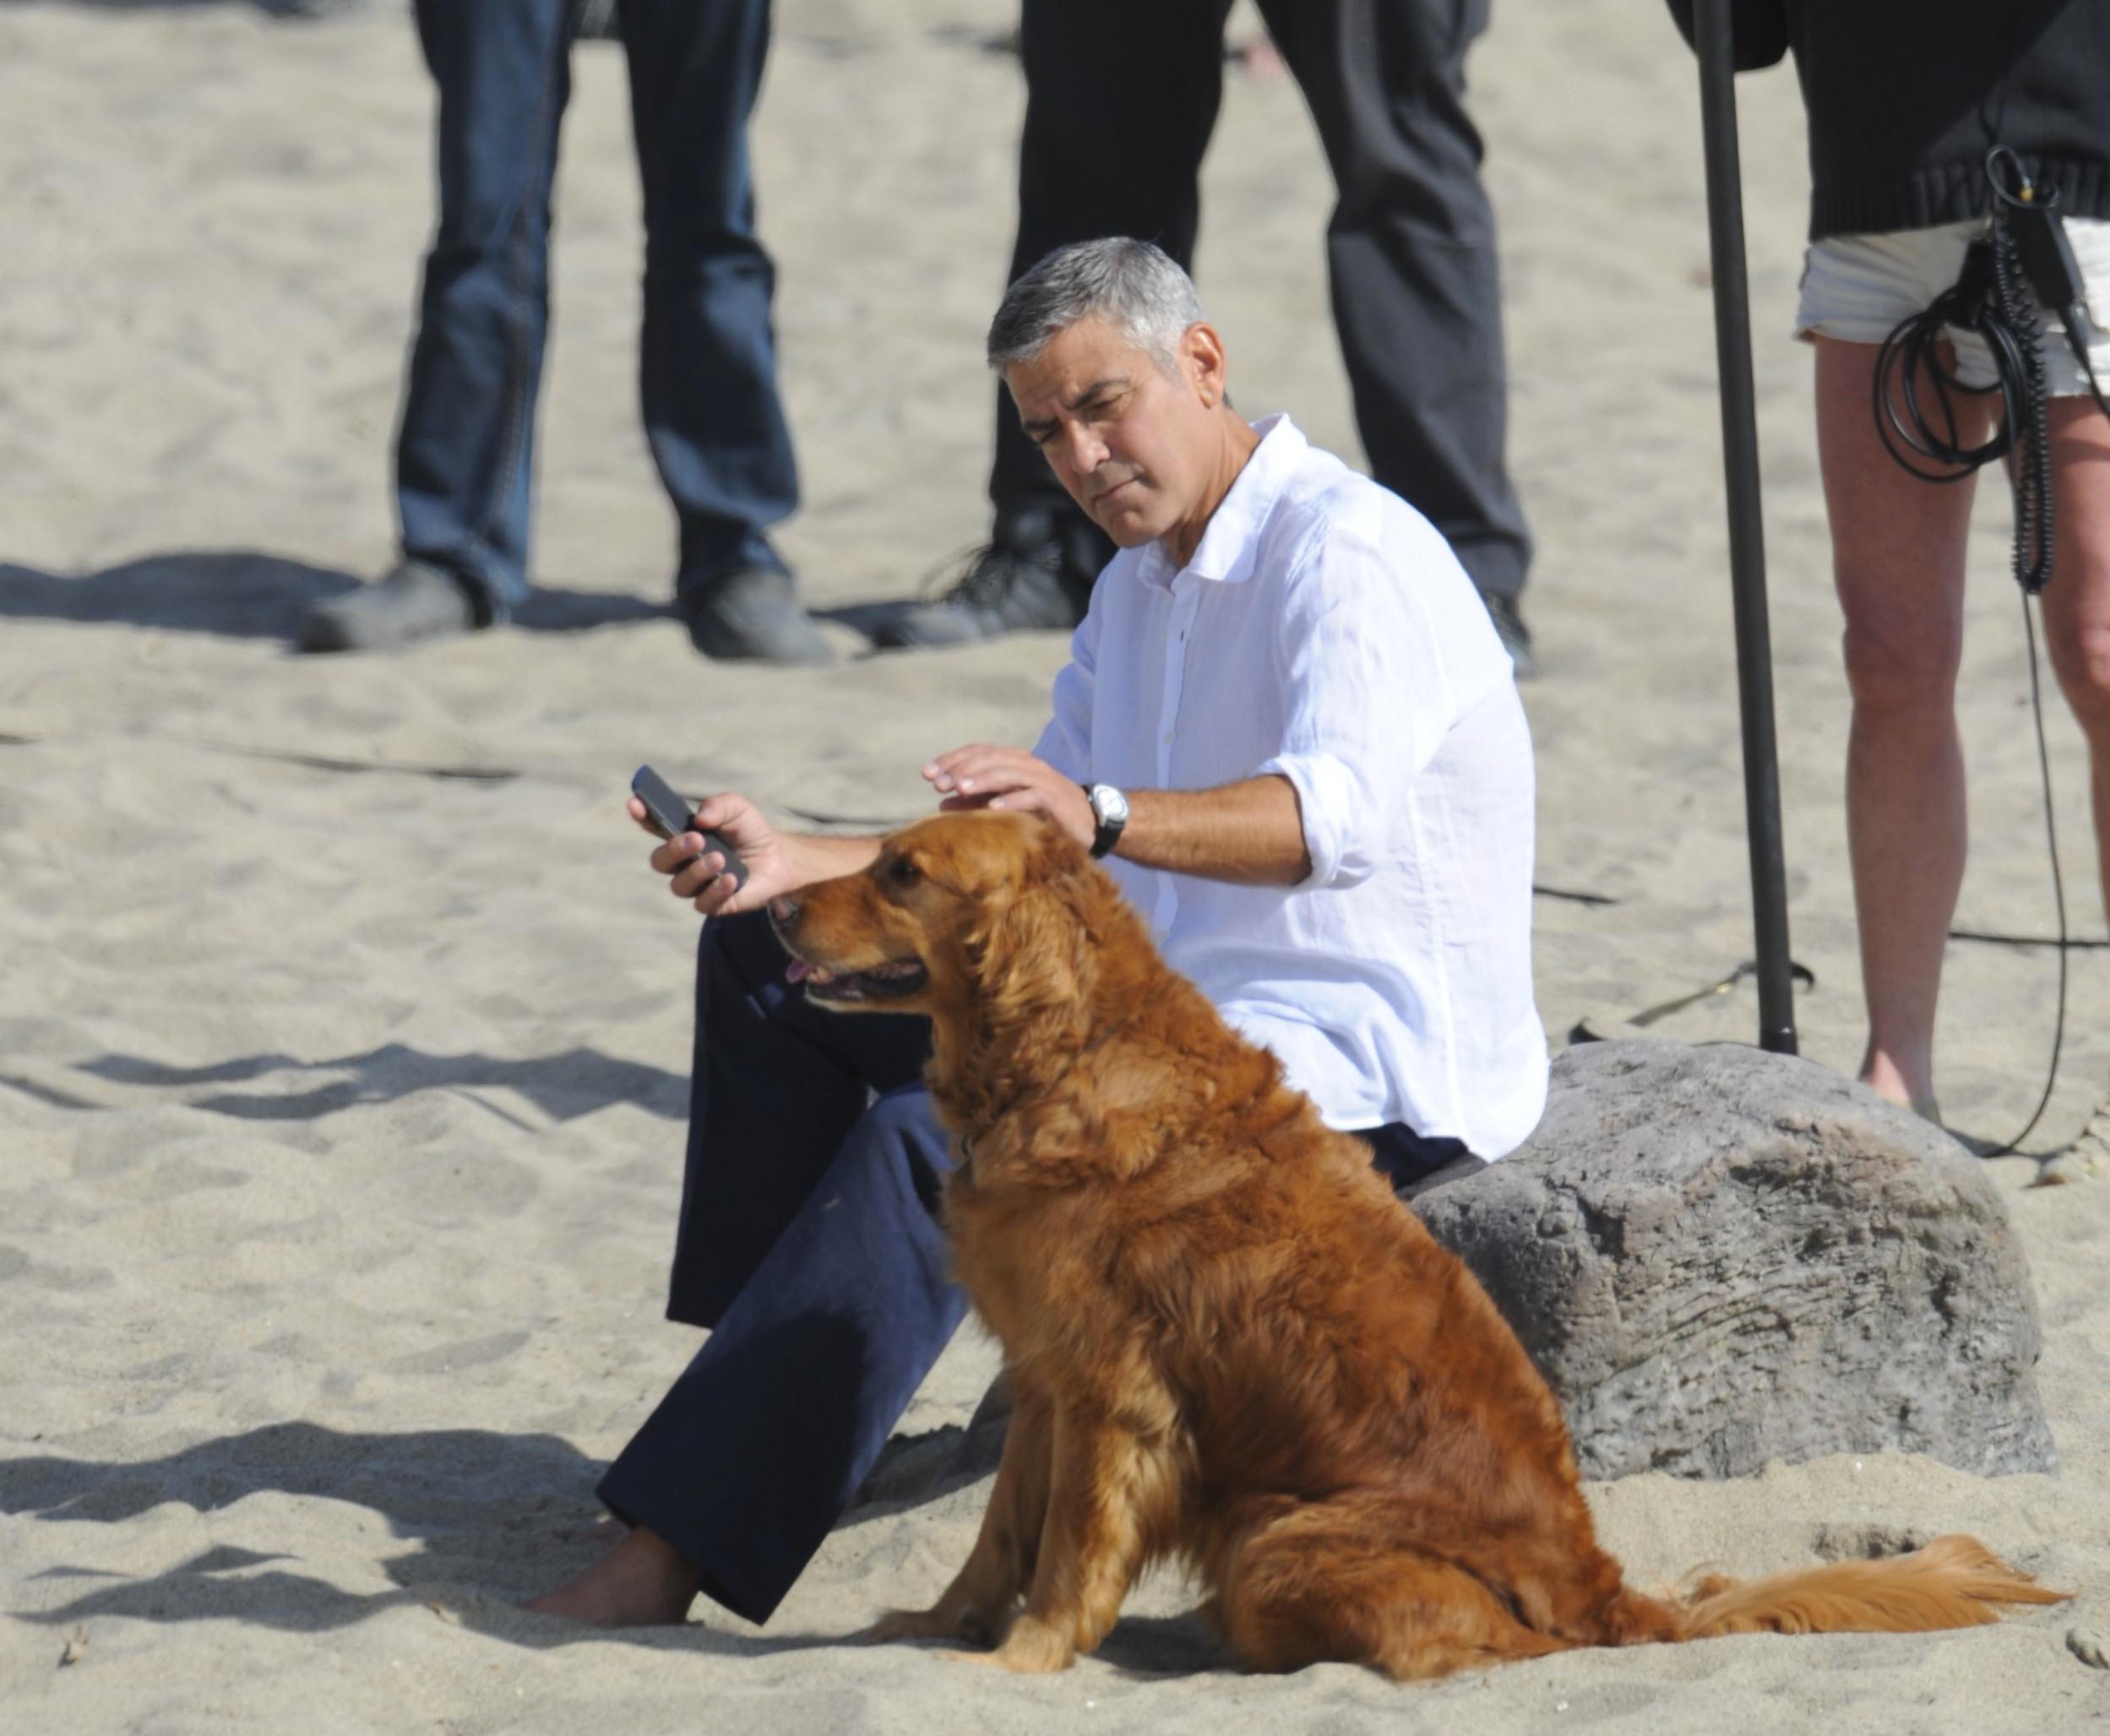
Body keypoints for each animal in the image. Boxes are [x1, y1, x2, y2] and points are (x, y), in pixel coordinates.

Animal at [772, 818, 2059, 1687]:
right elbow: (997, 1535)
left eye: (900, 873)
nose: (775, 911)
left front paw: (1024, 1658)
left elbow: (1069, 1547)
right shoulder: (1043, 1371)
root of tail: (1604, 1590)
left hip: (1277, 1539)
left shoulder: (1109, 1389)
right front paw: (937, 1629)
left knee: (1477, 1644)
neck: (1067, 1054)